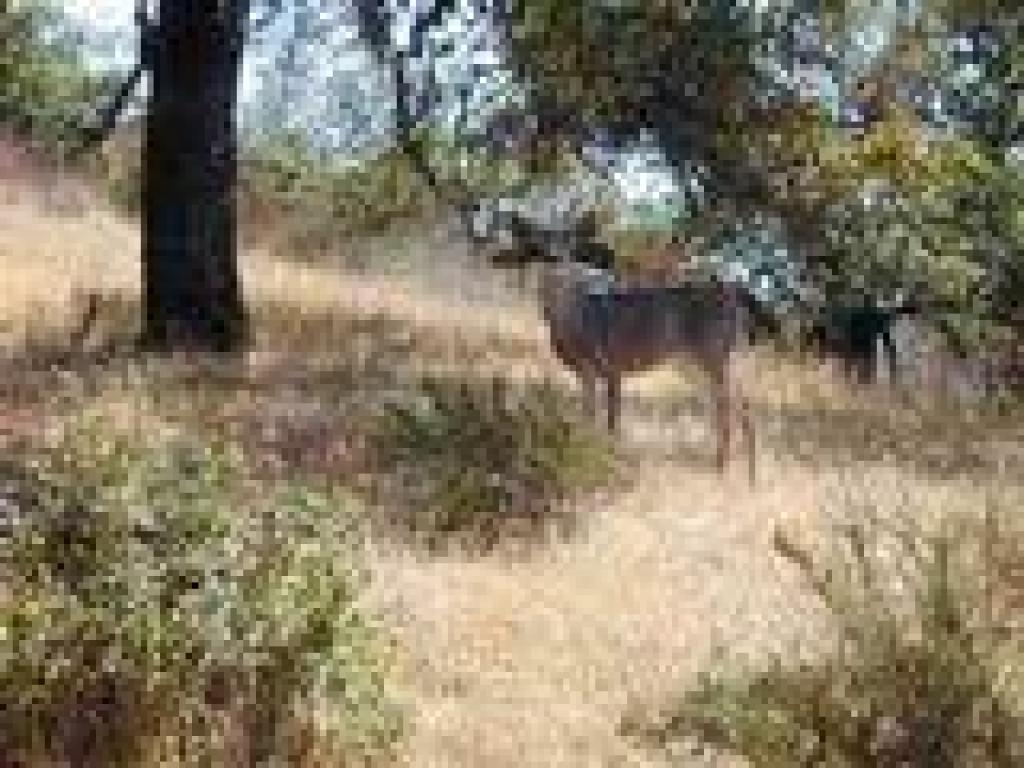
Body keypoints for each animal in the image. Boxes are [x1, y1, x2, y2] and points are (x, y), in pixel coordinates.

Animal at [537, 244, 757, 482]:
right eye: (550, 283)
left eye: (575, 280)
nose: (549, 307)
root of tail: (733, 300)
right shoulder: (589, 373)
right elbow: (589, 413)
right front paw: (587, 447)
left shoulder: (611, 367)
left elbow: (611, 419)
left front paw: (607, 454)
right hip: (702, 363)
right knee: (736, 404)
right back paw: (744, 470)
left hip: (715, 356)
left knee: (729, 405)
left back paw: (725, 467)